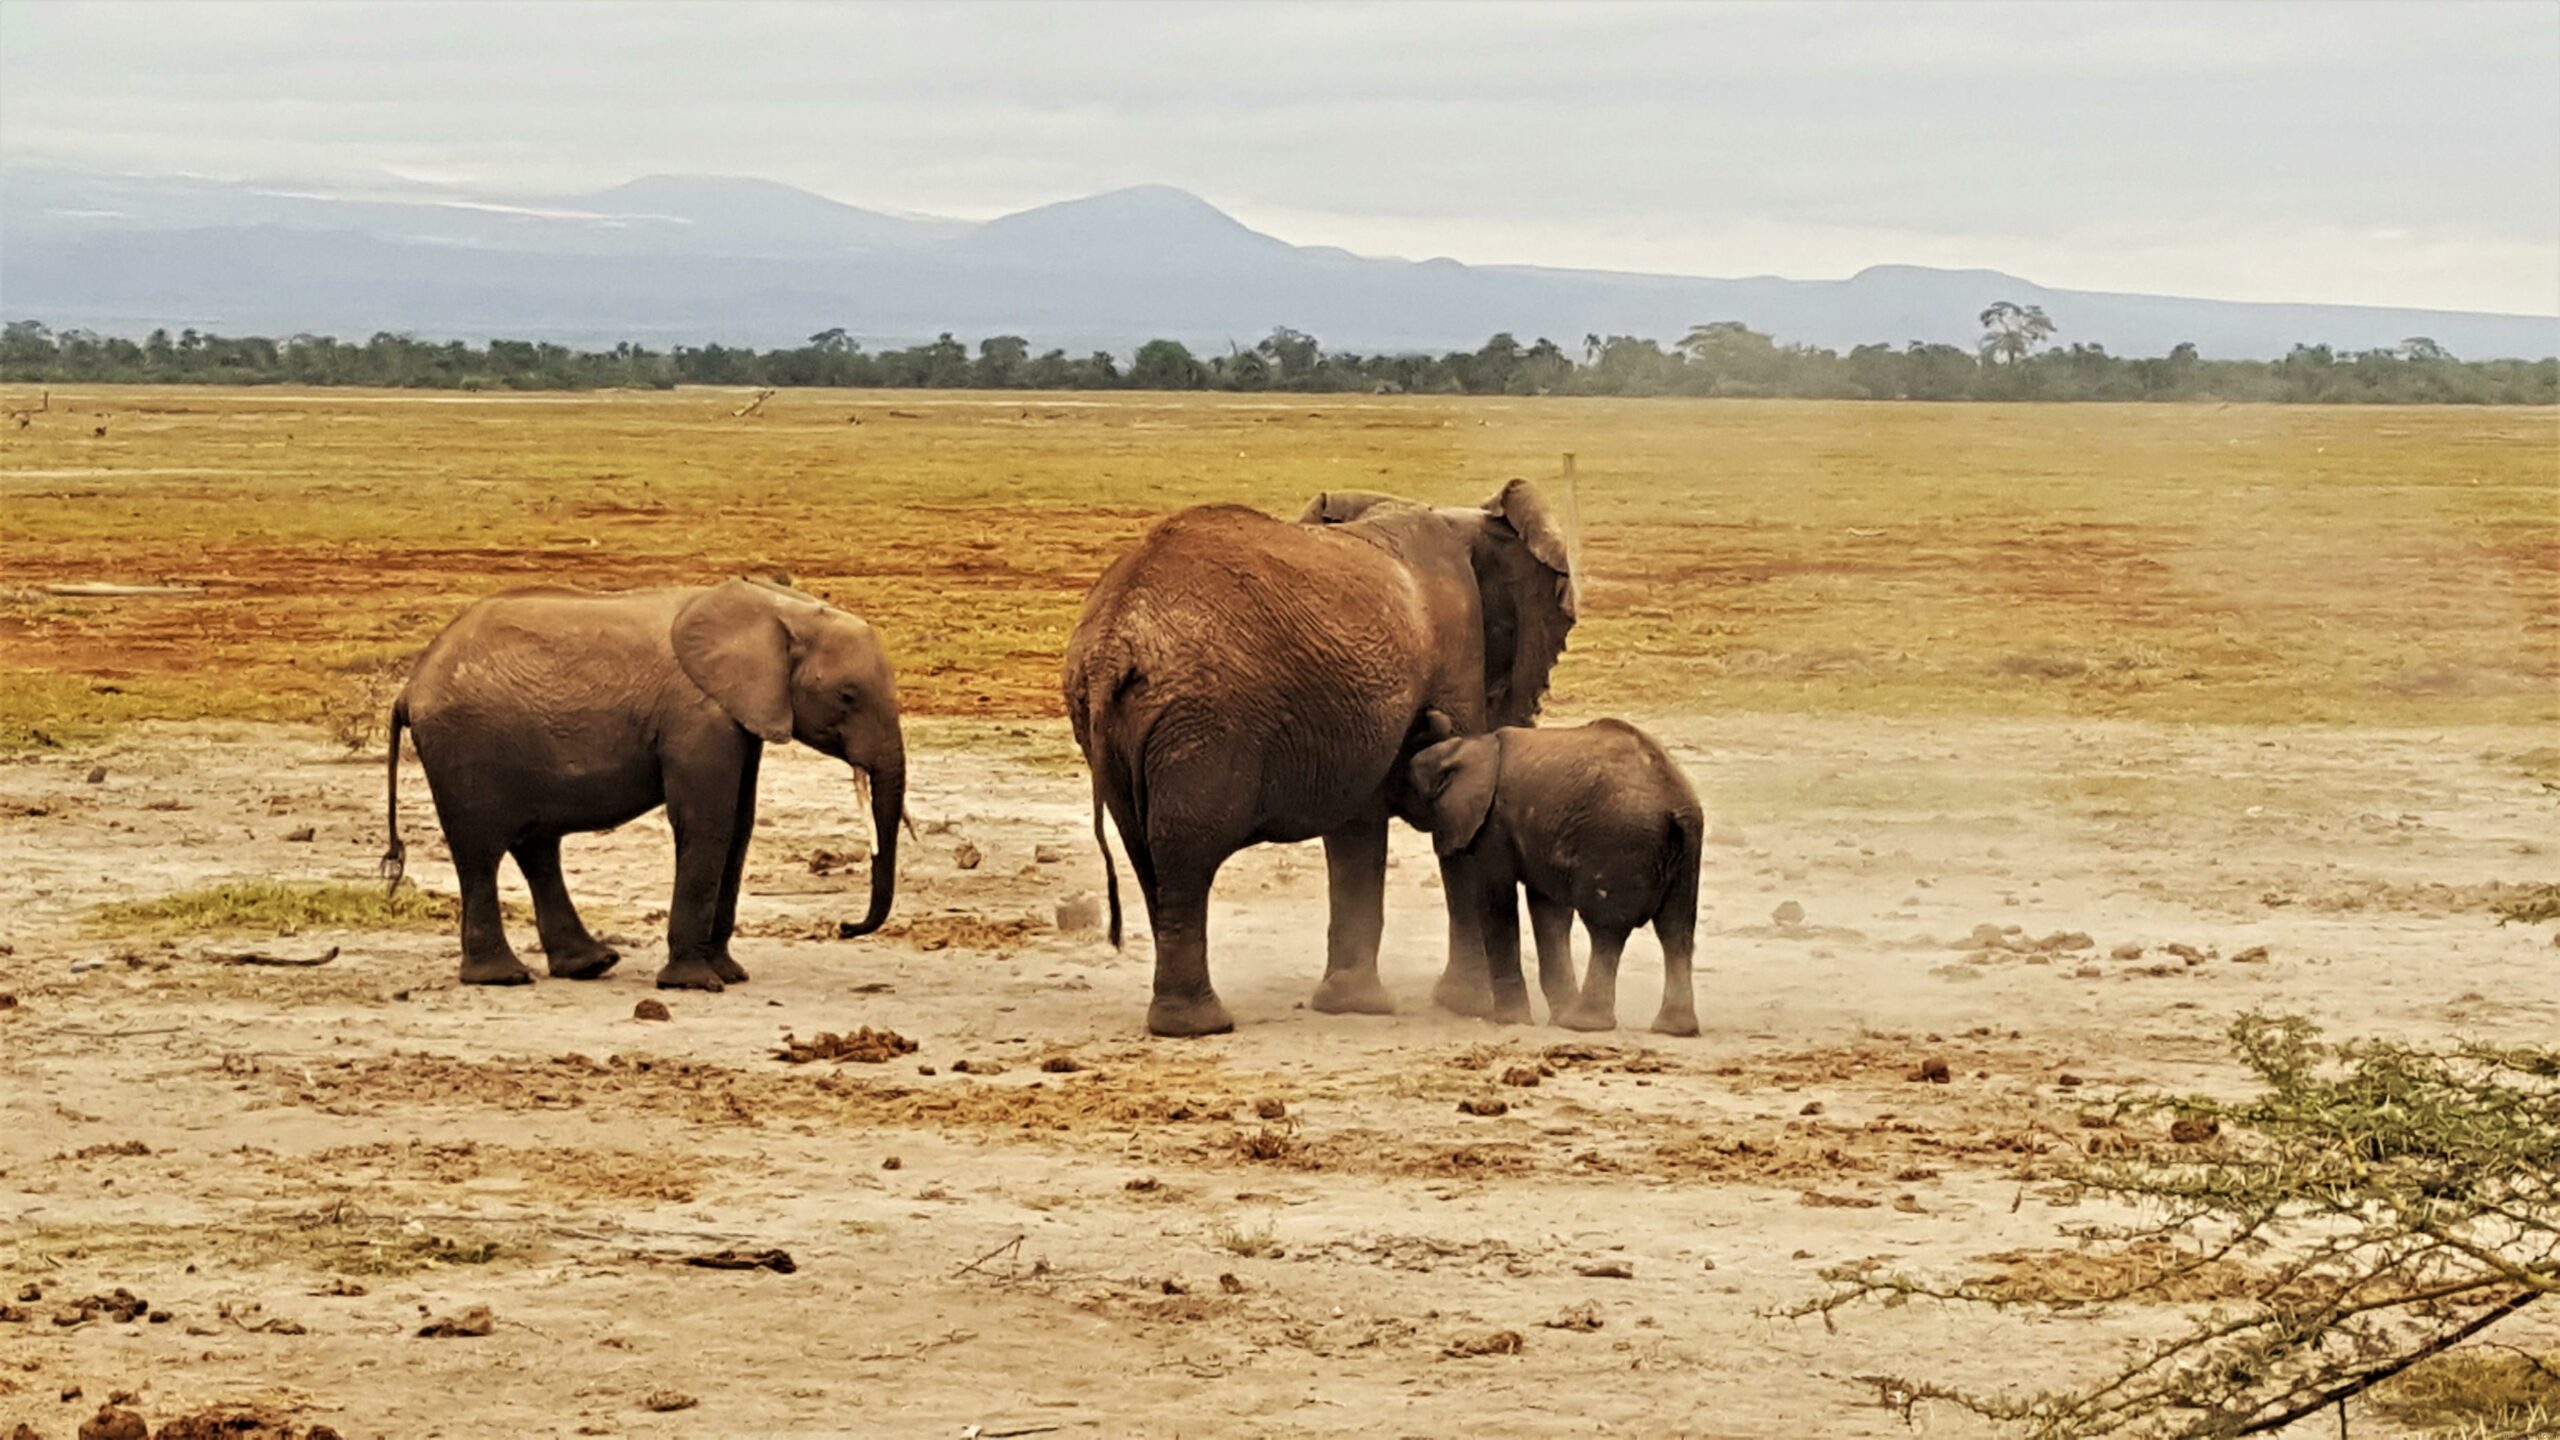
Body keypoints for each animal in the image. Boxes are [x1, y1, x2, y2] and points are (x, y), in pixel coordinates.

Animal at [373, 571, 906, 983]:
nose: (844, 927)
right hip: (464, 747)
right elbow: (707, 823)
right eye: (848, 696)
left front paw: (730, 974)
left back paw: (590, 965)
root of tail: (410, 686)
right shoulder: (697, 716)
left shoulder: (738, 716)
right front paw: (695, 982)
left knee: (536, 847)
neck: (776, 609)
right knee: (481, 852)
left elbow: (739, 825)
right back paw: (504, 977)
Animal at [1059, 481, 1576, 1030]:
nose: (1424, 724)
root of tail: (1113, 642)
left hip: (1116, 722)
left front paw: (1353, 1006)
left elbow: (1355, 830)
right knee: (1184, 850)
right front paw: (1466, 1007)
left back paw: (1181, 1020)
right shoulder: (1458, 652)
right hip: (1201, 722)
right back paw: (1202, 1025)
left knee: (1147, 852)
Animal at [1423, 717, 1699, 1030]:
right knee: (1676, 930)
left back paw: (1583, 1023)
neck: (1470, 746)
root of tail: (1672, 801)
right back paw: (1675, 1029)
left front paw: (1514, 1021)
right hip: (1686, 850)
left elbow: (1498, 899)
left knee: (1607, 929)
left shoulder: (1494, 823)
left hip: (1618, 843)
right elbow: (1548, 910)